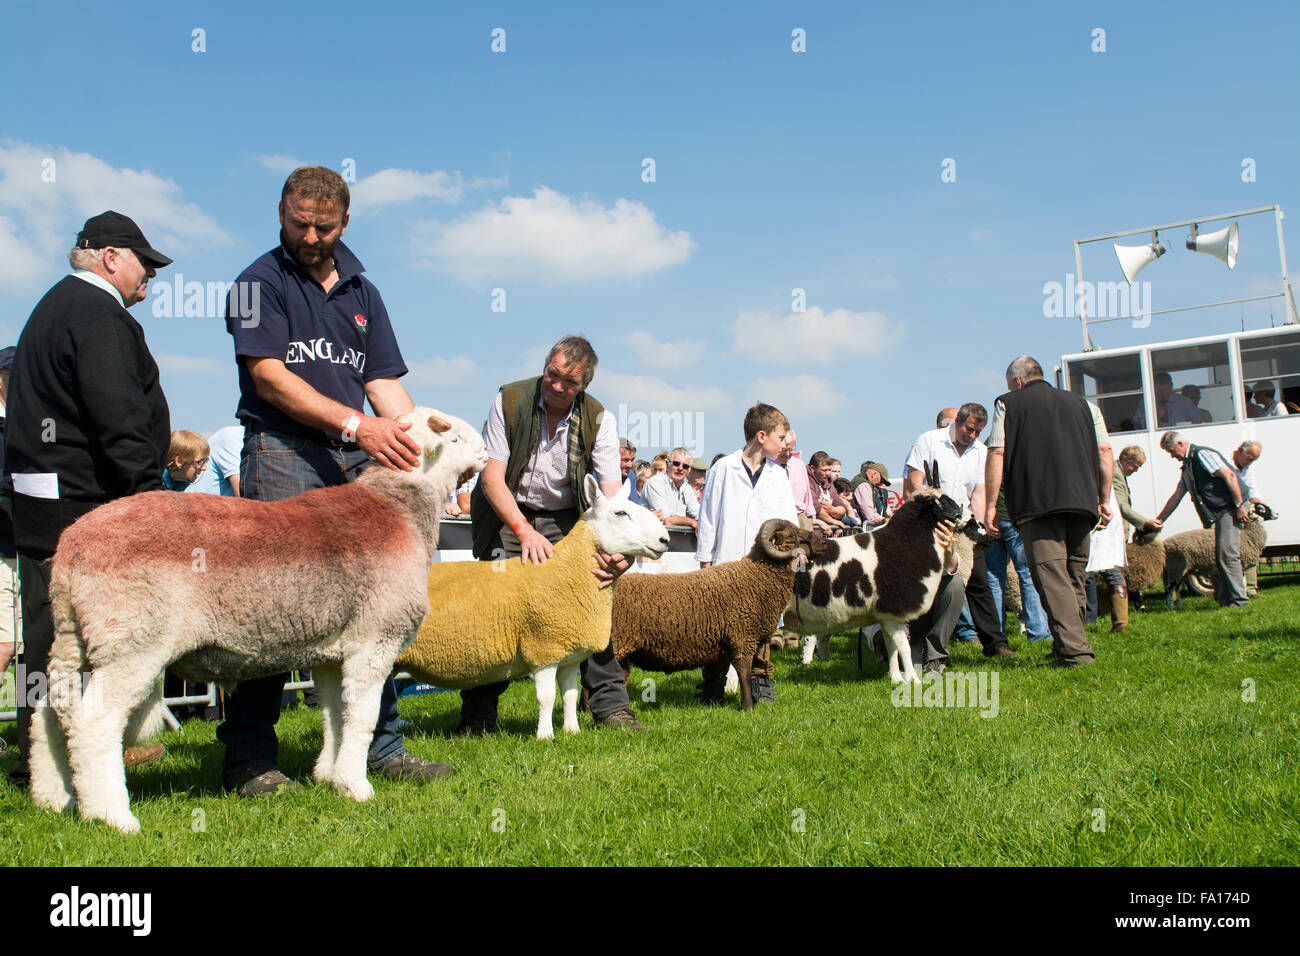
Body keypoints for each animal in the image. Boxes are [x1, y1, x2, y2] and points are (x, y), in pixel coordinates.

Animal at [30, 408, 488, 832]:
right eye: (457, 438)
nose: (486, 453)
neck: (399, 509)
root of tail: (71, 546)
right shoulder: (373, 640)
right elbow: (361, 716)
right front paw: (355, 786)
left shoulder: (330, 651)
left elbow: (334, 715)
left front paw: (329, 777)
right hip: (132, 639)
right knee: (93, 722)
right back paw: (110, 815)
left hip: (75, 636)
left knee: (50, 712)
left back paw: (54, 798)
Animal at [611, 520, 811, 707]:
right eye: (793, 534)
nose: (814, 535)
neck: (757, 575)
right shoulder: (743, 638)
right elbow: (744, 673)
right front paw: (748, 707)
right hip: (617, 643)